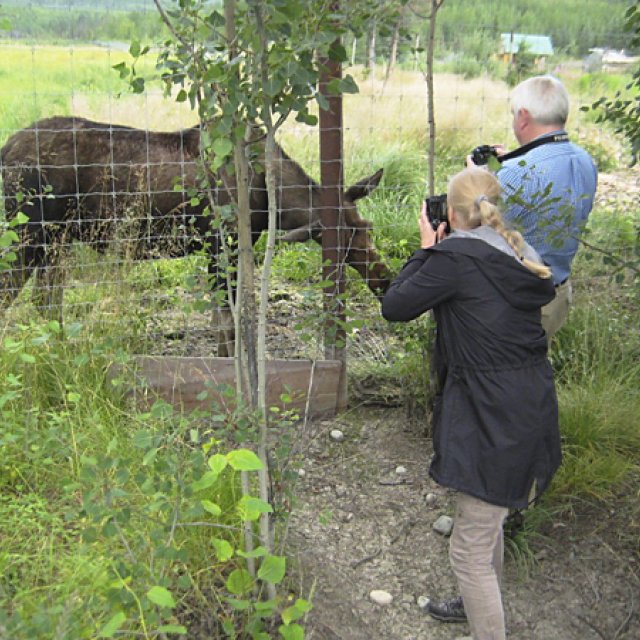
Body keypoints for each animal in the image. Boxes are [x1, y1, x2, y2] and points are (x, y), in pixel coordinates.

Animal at [0, 115, 390, 356]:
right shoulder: (222, 246)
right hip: (26, 237)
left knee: (46, 302)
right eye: (345, 242)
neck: (272, 199)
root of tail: (6, 150)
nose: (384, 279)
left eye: (366, 228)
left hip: (54, 242)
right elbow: (225, 322)